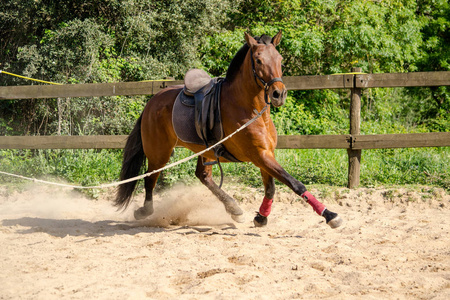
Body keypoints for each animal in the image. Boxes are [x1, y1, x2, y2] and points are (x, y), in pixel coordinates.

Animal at [114, 30, 342, 229]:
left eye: (280, 59)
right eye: (258, 60)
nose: (279, 94)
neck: (251, 110)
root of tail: (152, 101)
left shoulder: (266, 154)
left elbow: (270, 188)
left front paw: (261, 217)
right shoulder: (260, 156)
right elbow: (295, 184)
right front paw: (330, 215)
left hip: (204, 151)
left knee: (203, 176)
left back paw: (234, 208)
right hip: (159, 152)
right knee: (150, 177)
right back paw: (145, 211)